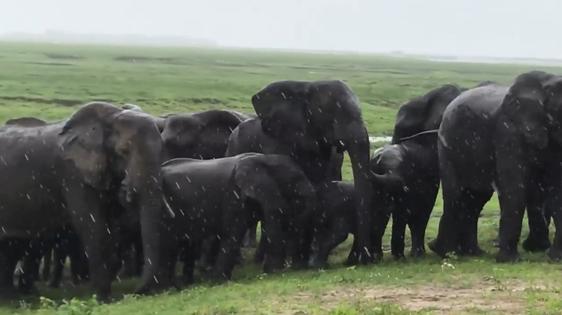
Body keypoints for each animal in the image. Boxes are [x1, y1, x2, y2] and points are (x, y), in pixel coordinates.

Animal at [0, 103, 170, 302]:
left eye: (162, 150)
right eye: (123, 151)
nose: (134, 293)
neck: (110, 117)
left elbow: (113, 230)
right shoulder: (74, 175)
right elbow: (93, 227)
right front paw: (104, 299)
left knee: (15, 244)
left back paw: (15, 295)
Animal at [160, 153, 316, 284]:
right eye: (296, 181)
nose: (296, 266)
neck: (264, 159)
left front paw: (271, 271)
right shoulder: (234, 195)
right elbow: (234, 232)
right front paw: (217, 281)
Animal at [426, 72, 560, 264]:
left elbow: (556, 190)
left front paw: (553, 256)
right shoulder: (508, 131)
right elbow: (514, 188)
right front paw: (509, 261)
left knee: (475, 199)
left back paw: (471, 253)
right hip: (447, 144)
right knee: (455, 195)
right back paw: (445, 252)